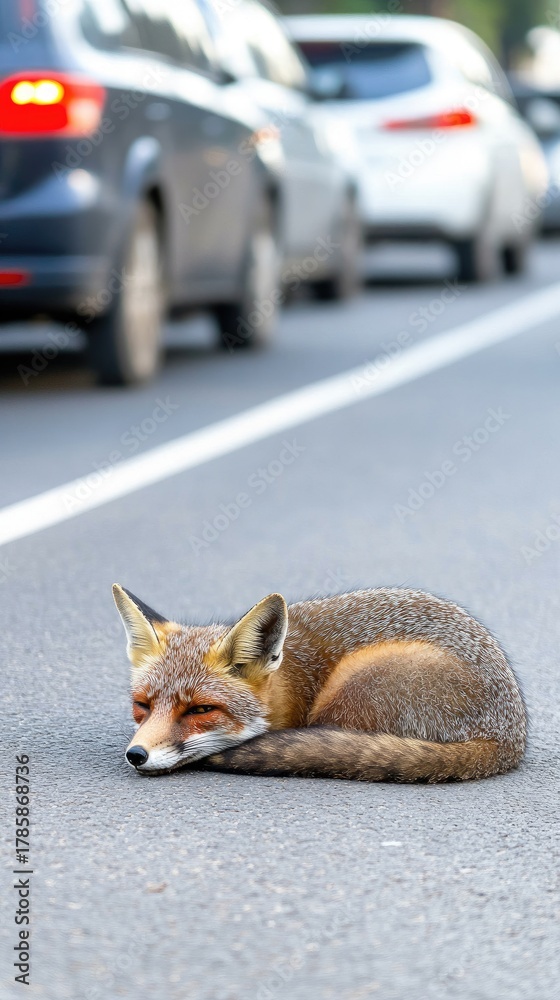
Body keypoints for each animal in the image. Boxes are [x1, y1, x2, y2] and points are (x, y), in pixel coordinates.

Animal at [112, 583, 527, 782]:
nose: (137, 755)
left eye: (201, 709)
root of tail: (511, 737)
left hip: (352, 686)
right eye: (142, 705)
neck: (292, 679)